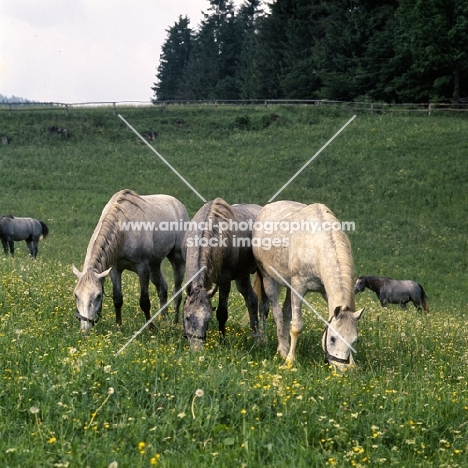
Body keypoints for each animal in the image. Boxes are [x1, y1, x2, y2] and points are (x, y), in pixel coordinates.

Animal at [71, 189, 188, 332]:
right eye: (76, 295)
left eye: (98, 295)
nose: (84, 329)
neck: (123, 230)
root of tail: (178, 204)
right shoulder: (115, 270)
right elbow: (117, 299)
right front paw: (118, 326)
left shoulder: (142, 268)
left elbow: (144, 301)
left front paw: (150, 327)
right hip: (155, 264)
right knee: (162, 289)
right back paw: (164, 321)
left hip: (176, 259)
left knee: (177, 293)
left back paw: (175, 324)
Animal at [181, 198, 266, 352]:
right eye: (188, 317)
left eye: (208, 319)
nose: (197, 349)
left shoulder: (224, 280)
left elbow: (222, 313)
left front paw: (222, 341)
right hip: (242, 277)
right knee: (251, 300)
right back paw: (254, 335)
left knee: (264, 306)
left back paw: (262, 338)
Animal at [254, 201, 364, 370]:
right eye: (332, 338)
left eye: (354, 340)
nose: (341, 369)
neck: (317, 245)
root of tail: (266, 208)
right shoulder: (299, 287)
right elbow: (296, 326)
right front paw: (290, 360)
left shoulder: (325, 292)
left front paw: (353, 364)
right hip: (268, 278)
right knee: (277, 312)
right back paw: (282, 350)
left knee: (286, 312)